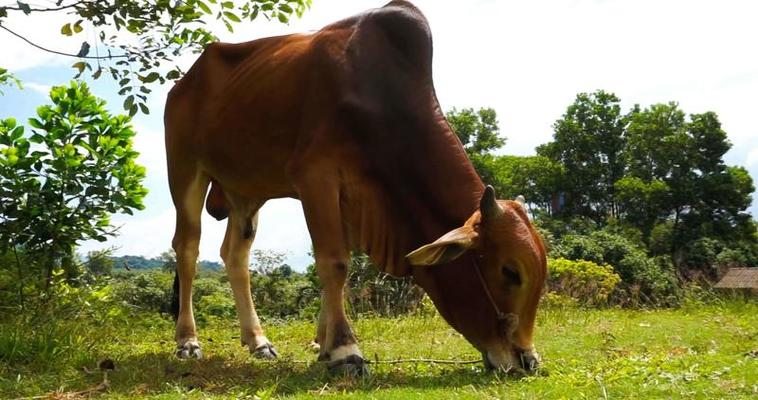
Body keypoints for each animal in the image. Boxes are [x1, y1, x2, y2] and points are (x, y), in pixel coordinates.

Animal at [165, 0, 548, 376]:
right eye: (510, 271)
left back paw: (258, 341)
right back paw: (187, 341)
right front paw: (346, 351)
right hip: (185, 170)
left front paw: (324, 346)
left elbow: (339, 271)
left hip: (246, 189)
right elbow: (334, 263)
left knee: (236, 256)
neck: (380, 96)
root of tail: (185, 82)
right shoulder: (315, 177)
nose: (527, 362)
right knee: (187, 248)